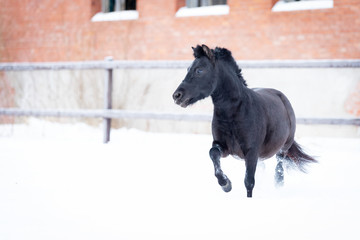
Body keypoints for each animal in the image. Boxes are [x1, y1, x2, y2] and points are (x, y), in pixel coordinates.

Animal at [172, 44, 316, 197]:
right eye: (188, 69)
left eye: (199, 70)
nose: (177, 96)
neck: (233, 115)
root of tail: (281, 96)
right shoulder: (224, 147)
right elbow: (213, 153)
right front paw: (226, 184)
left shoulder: (251, 152)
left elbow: (249, 182)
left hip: (283, 148)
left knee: (279, 170)